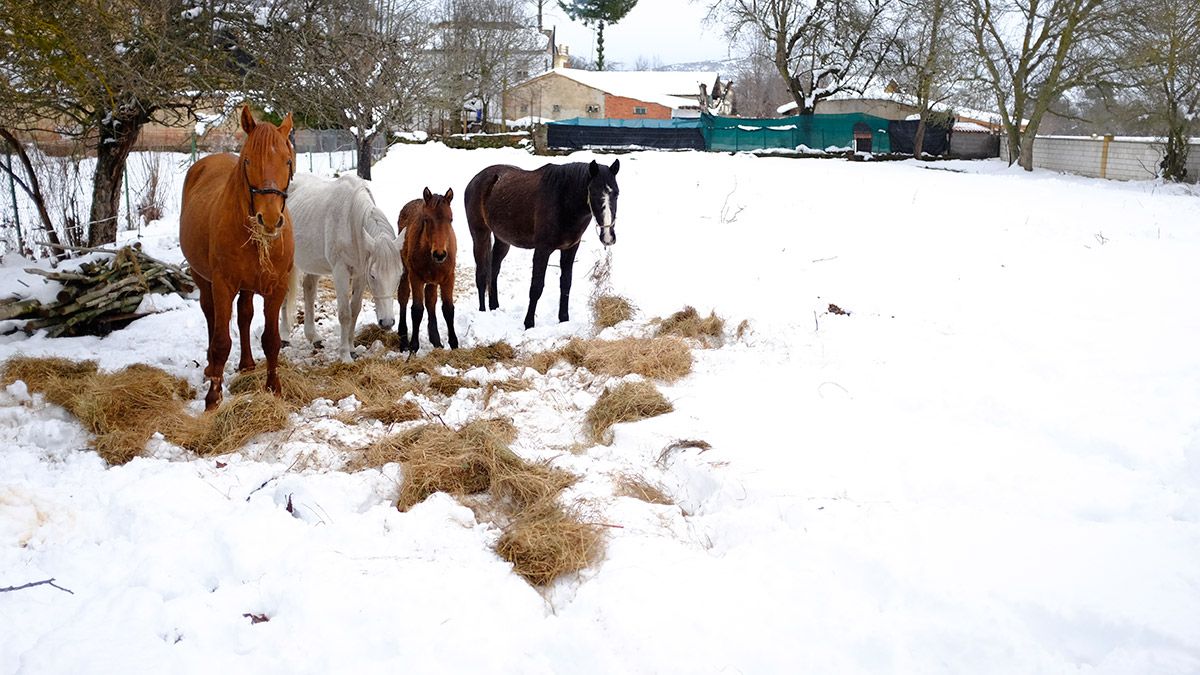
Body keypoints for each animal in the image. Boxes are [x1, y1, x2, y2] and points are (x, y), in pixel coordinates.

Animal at [180, 105, 297, 410]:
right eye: (248, 161)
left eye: (288, 161)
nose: (270, 219)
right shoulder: (223, 284)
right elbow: (221, 342)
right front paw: (213, 398)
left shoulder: (276, 286)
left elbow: (271, 339)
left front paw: (273, 388)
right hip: (204, 279)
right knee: (210, 314)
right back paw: (211, 366)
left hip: (247, 286)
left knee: (245, 315)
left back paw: (246, 363)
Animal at [282, 172, 408, 362]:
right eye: (373, 275)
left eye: (399, 274)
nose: (387, 323)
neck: (350, 222)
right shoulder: (340, 272)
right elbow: (344, 313)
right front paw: (345, 356)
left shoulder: (359, 274)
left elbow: (354, 310)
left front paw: (352, 349)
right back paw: (283, 338)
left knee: (309, 289)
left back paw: (314, 337)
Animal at [403, 186, 458, 348]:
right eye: (426, 219)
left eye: (450, 219)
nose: (439, 254)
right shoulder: (415, 277)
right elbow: (416, 310)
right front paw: (413, 346)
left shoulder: (448, 278)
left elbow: (448, 309)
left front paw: (454, 344)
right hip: (405, 272)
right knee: (403, 296)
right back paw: (403, 339)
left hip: (433, 281)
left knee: (430, 301)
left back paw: (436, 339)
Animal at [465, 157, 624, 326]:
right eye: (593, 192)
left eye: (616, 194)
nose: (608, 237)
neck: (562, 199)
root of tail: (475, 180)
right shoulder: (542, 250)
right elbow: (536, 287)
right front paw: (529, 323)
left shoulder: (570, 249)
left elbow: (566, 284)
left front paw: (563, 319)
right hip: (480, 234)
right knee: (481, 274)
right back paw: (482, 312)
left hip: (502, 240)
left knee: (494, 269)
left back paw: (494, 306)